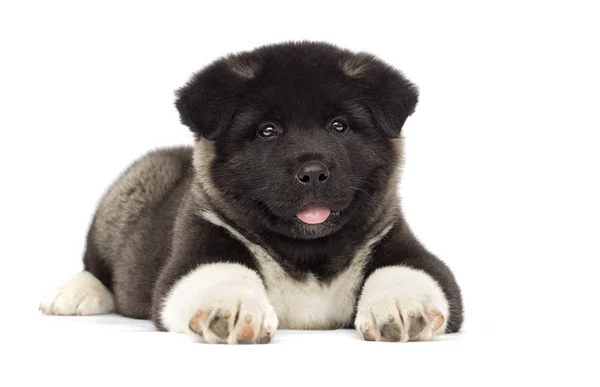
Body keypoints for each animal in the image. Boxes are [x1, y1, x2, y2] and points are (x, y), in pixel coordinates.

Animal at [41, 42, 464, 344]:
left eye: (339, 126)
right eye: (268, 131)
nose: (313, 172)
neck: (308, 253)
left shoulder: (400, 241)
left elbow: (406, 270)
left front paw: (402, 305)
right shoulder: (194, 250)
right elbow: (220, 272)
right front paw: (231, 307)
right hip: (129, 191)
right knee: (94, 264)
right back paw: (75, 294)